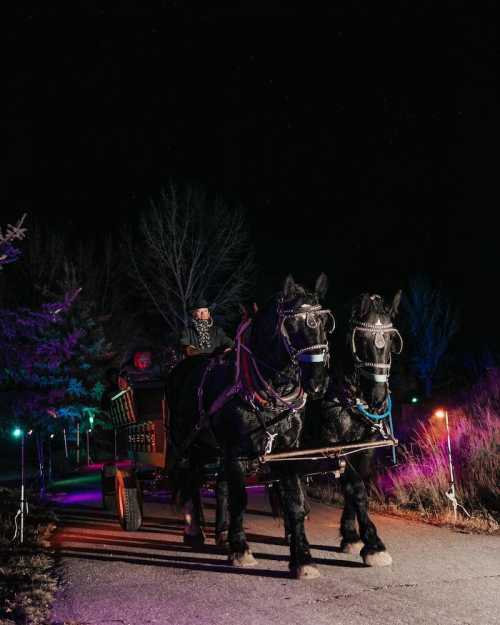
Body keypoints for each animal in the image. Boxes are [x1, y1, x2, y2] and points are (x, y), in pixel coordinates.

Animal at [166, 276, 334, 576]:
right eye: (292, 325)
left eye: (325, 323)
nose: (317, 382)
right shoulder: (236, 450)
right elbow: (239, 499)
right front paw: (240, 549)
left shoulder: (287, 450)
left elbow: (294, 502)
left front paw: (303, 559)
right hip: (188, 441)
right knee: (191, 479)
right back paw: (195, 529)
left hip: (213, 446)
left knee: (218, 483)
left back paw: (220, 532)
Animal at [314, 292, 404, 564]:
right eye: (360, 339)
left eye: (391, 339)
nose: (378, 397)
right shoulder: (335, 444)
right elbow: (355, 488)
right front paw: (373, 543)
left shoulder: (365, 446)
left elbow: (358, 483)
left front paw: (351, 535)